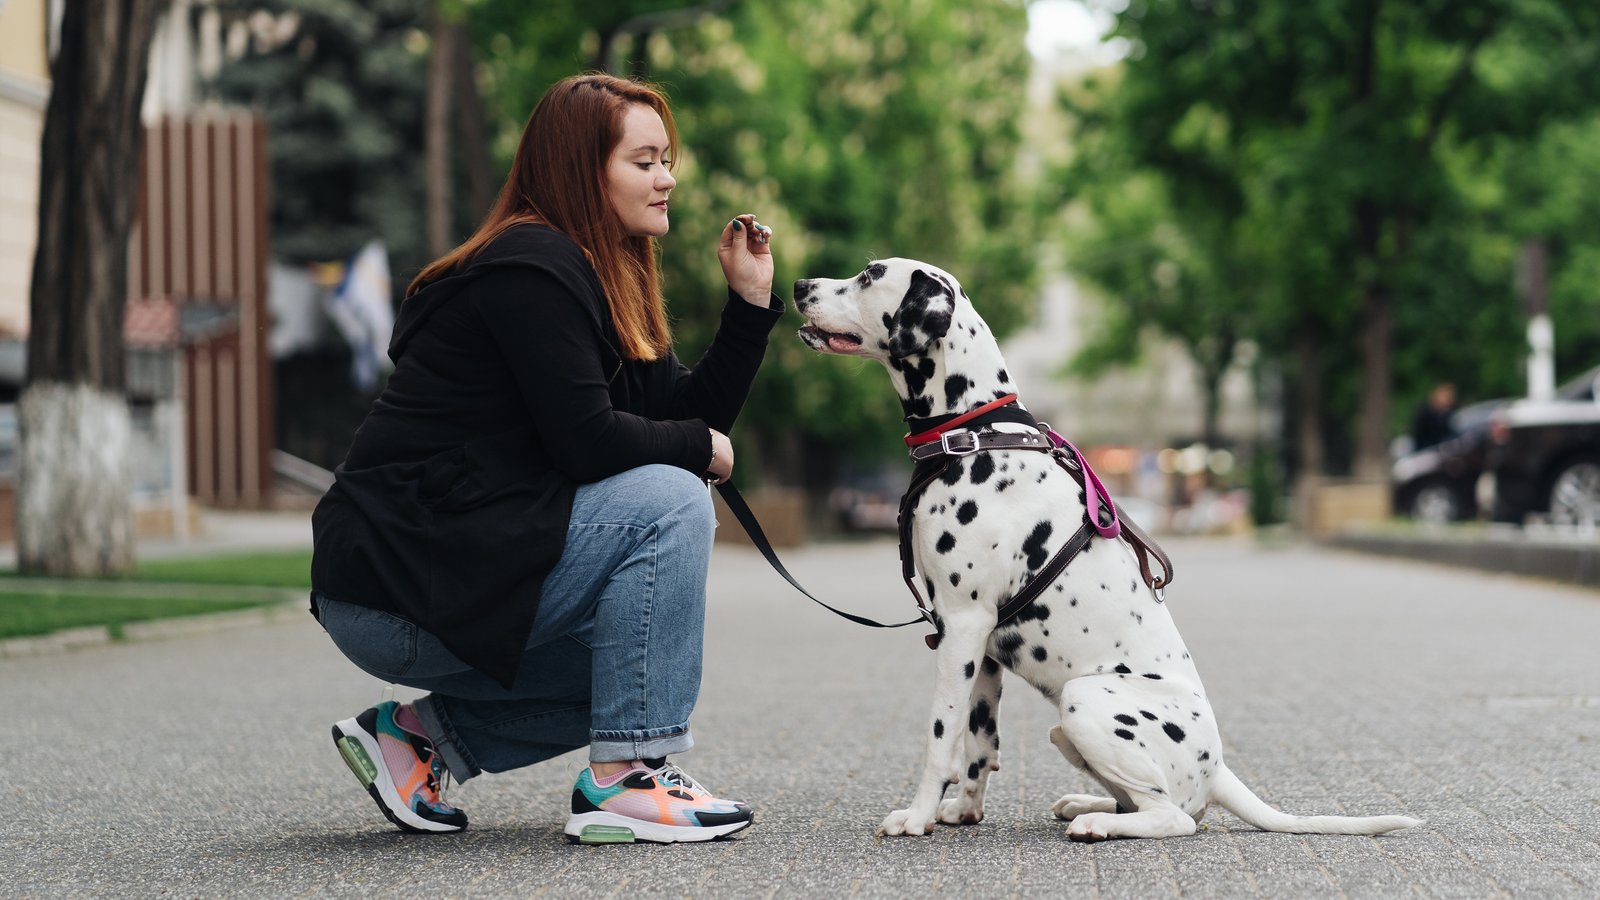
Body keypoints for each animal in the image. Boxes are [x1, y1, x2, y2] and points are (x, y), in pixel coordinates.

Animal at [793, 257, 1420, 839]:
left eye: (869, 274)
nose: (799, 286)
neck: (974, 432)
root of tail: (1218, 769)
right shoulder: (981, 648)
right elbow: (978, 744)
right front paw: (962, 812)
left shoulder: (962, 626)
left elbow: (940, 738)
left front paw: (918, 816)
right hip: (1067, 726)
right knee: (1152, 803)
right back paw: (1086, 804)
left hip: (1084, 699)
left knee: (1174, 817)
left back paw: (1097, 822)